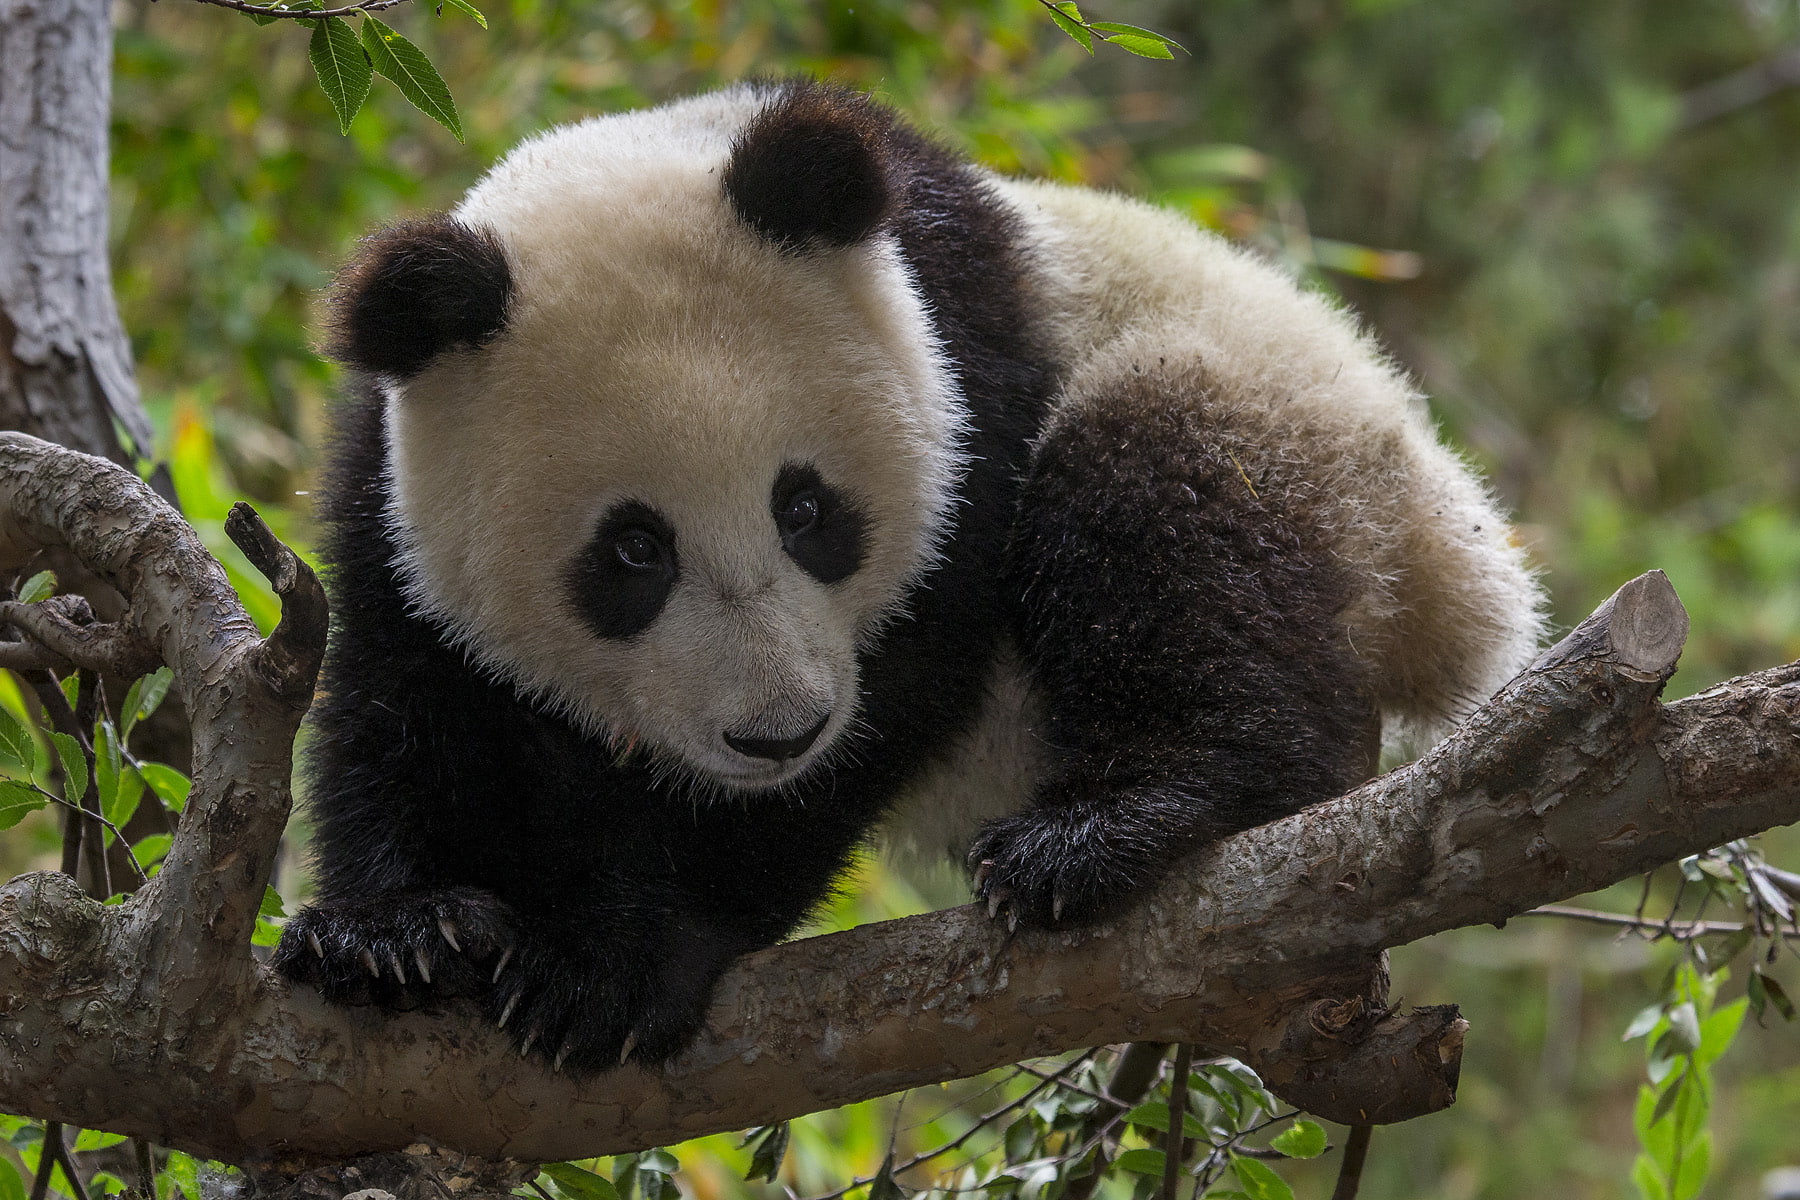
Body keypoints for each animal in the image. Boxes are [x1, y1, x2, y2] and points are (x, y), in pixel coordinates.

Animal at [274, 79, 1545, 1073]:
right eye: (633, 550)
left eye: (807, 509)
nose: (779, 733)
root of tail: (1446, 540)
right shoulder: (394, 485)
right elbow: (406, 698)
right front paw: (395, 936)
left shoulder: (962, 376)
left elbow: (908, 679)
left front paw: (607, 964)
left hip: (1270, 426)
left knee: (1167, 528)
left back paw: (1106, 831)